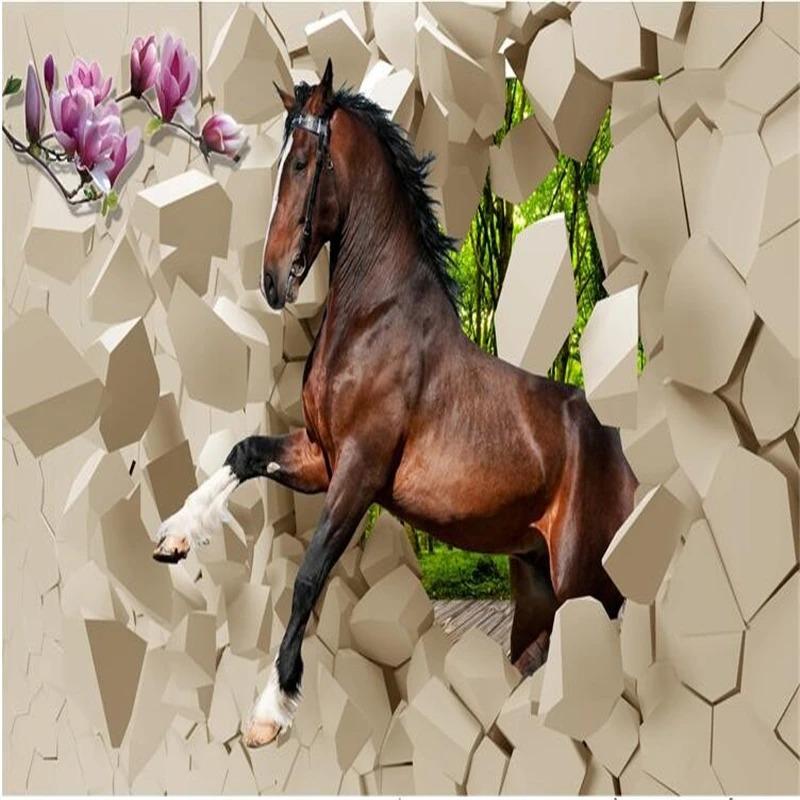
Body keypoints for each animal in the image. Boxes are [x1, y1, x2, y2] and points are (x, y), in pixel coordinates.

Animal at [152, 60, 636, 748]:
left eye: (304, 162)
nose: (272, 281)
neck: (373, 319)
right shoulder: (319, 457)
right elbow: (243, 452)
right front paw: (174, 536)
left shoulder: (358, 472)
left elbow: (308, 576)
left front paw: (271, 708)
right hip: (537, 586)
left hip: (587, 587)